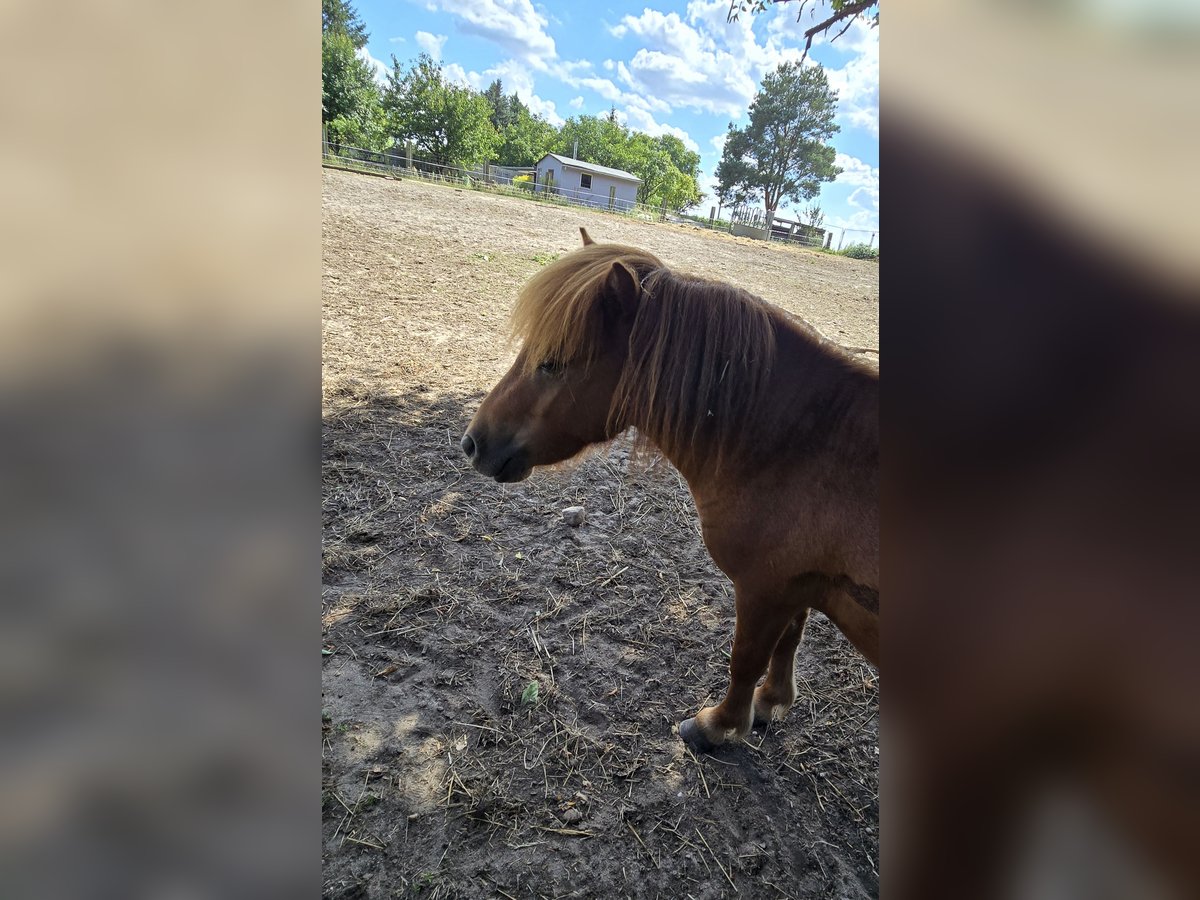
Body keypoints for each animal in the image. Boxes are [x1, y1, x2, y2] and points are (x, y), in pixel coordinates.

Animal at [463, 229, 878, 748]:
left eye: (553, 363)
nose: (472, 443)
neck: (806, 443)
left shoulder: (763, 588)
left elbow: (746, 658)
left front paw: (718, 726)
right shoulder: (795, 585)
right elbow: (790, 639)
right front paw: (772, 702)